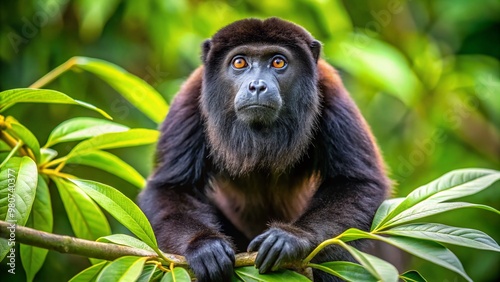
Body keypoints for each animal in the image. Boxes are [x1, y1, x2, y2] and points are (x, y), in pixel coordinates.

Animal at [140, 18, 390, 282]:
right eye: (239, 62)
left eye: (278, 62)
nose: (257, 85)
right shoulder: (190, 98)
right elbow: (171, 187)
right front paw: (203, 246)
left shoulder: (332, 93)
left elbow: (358, 182)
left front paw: (291, 237)